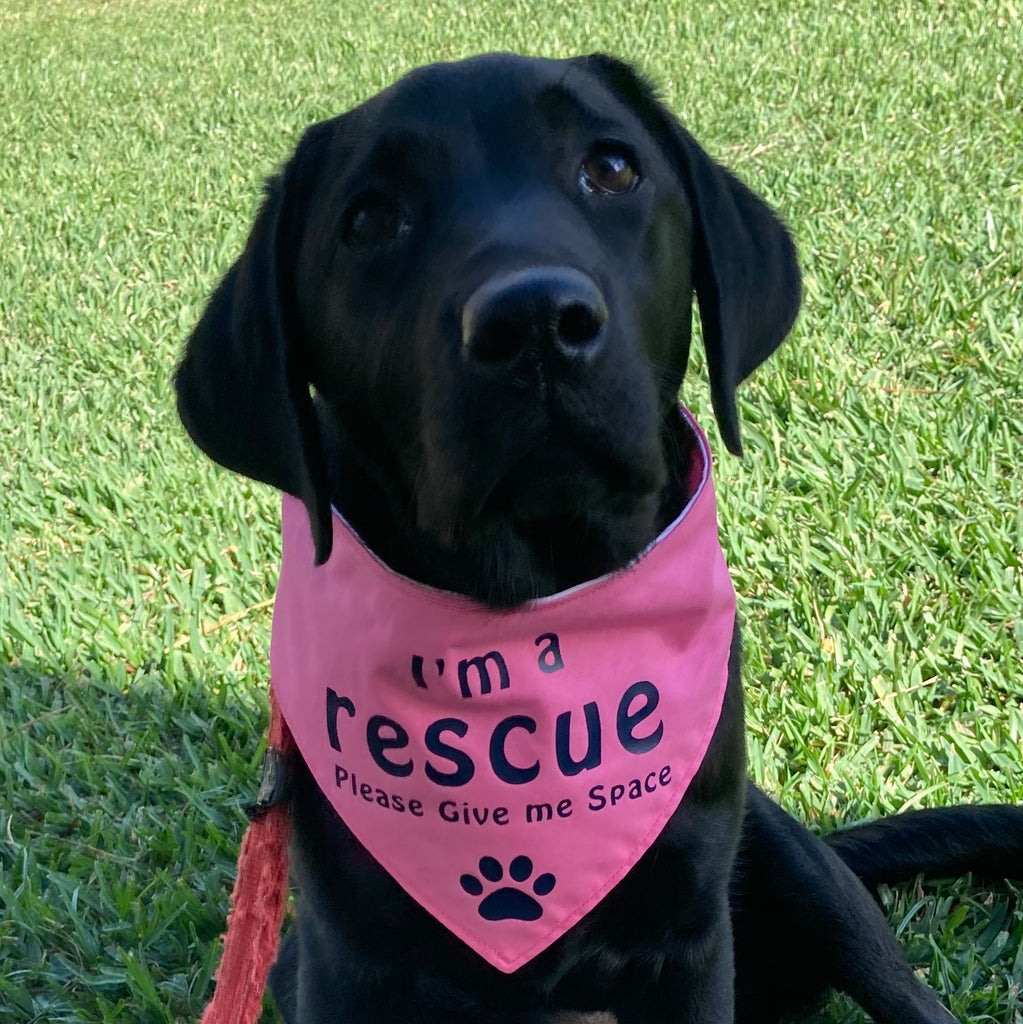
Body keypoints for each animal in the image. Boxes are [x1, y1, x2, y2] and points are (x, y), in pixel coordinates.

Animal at [178, 51, 1023, 1019]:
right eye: (369, 219)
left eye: (613, 167)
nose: (535, 322)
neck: (533, 613)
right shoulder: (346, 960)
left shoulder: (689, 940)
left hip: (800, 867)